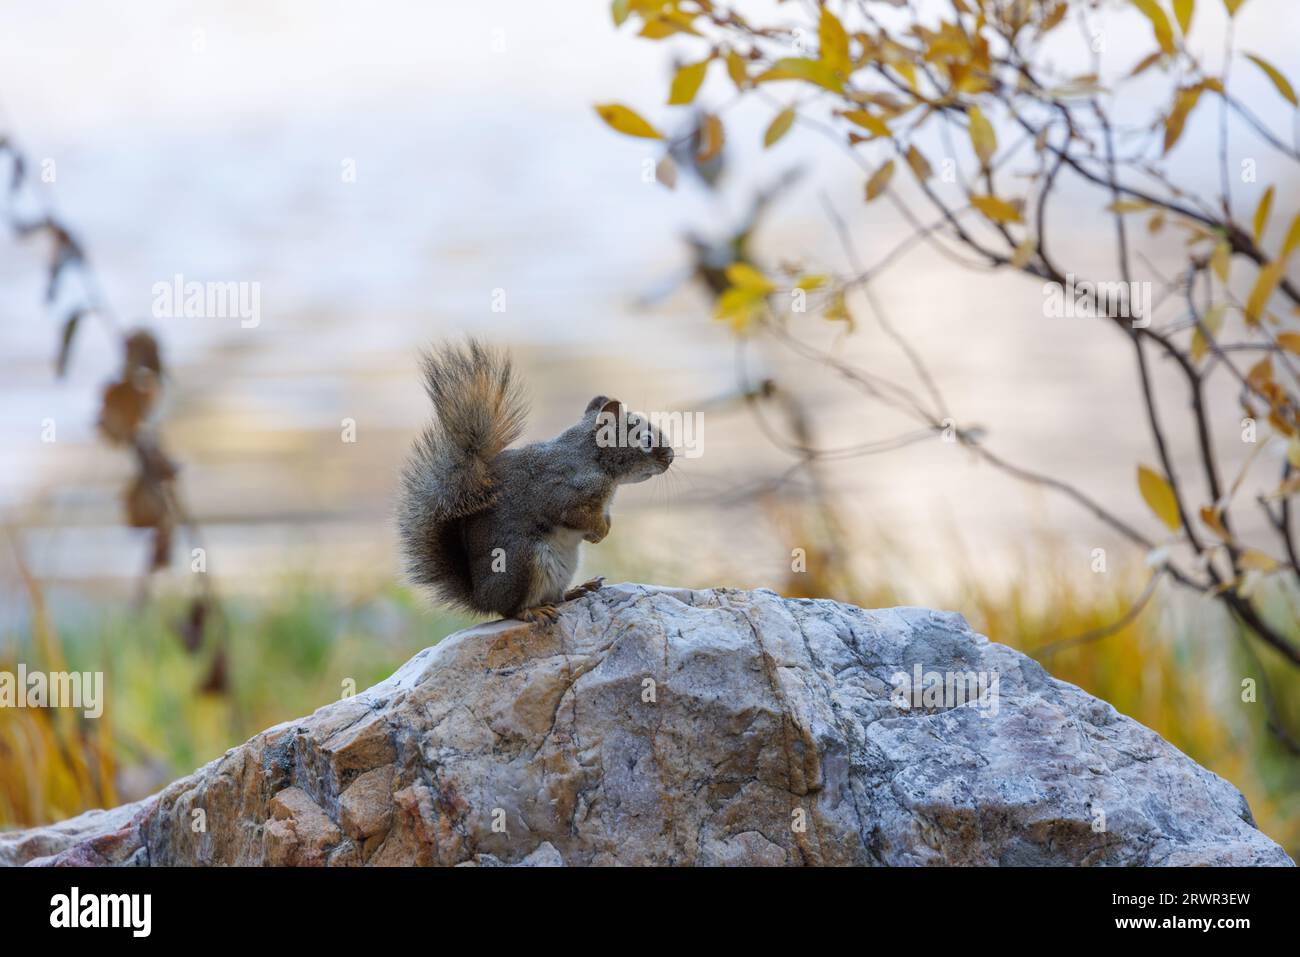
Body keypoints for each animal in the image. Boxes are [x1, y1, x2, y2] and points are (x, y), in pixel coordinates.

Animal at [398, 339, 673, 623]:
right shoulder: (566, 492)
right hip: (524, 561)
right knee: (511, 610)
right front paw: (600, 531)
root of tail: (482, 598)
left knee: (556, 597)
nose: (671, 457)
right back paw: (533, 610)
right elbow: (576, 515)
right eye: (646, 440)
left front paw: (602, 530)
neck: (596, 462)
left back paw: (577, 590)